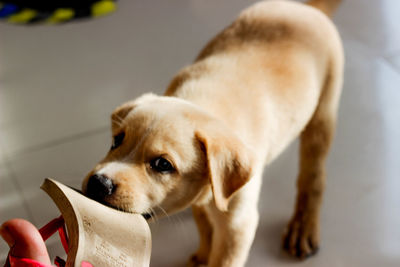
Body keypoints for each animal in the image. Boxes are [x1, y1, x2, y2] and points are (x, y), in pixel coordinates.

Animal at [82, 1, 344, 266]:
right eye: (117, 140)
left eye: (162, 165)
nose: (98, 183)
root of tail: (304, 7)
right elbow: (204, 222)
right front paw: (203, 254)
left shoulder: (237, 224)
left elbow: (224, 256)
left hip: (323, 114)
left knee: (313, 177)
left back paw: (303, 227)